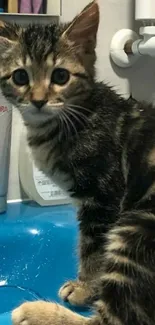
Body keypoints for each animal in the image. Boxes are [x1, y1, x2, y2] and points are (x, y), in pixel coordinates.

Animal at [0, 1, 155, 324]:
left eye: (60, 77)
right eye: (20, 77)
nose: (38, 100)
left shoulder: (104, 195)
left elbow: (93, 248)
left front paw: (85, 287)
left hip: (137, 226)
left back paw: (35, 311)